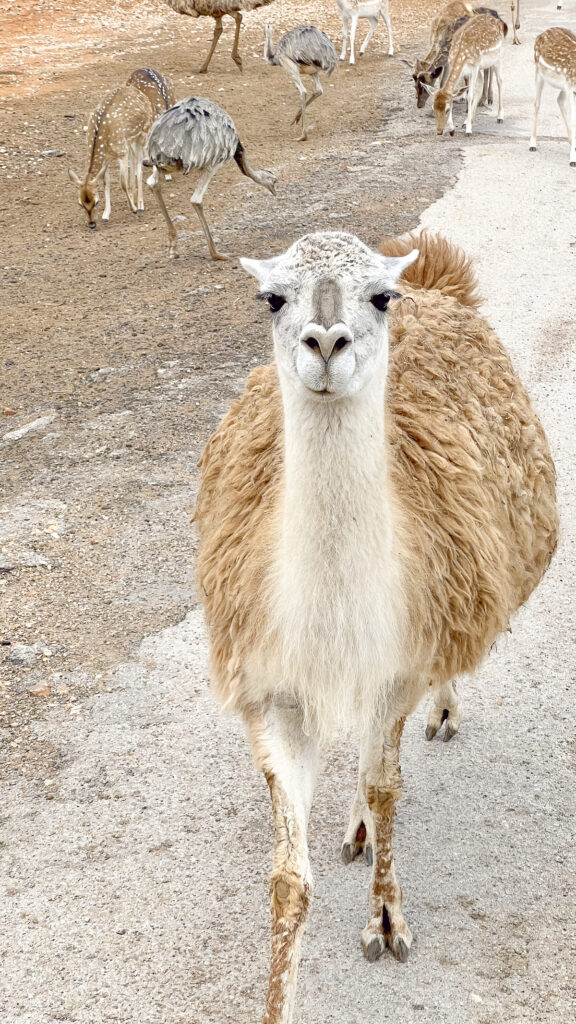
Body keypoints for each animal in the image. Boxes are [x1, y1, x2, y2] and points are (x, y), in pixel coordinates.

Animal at [67, 84, 154, 227]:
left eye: (96, 202)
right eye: (80, 203)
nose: (91, 224)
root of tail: (139, 92)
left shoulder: (121, 152)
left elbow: (122, 183)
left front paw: (133, 209)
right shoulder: (107, 158)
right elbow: (105, 182)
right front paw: (106, 214)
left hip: (143, 132)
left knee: (140, 165)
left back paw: (140, 204)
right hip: (129, 140)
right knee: (134, 160)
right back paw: (133, 197)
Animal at [528, 28, 573, 165]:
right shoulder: (571, 88)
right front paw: (572, 160)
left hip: (564, 86)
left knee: (559, 100)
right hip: (538, 72)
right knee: (536, 103)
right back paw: (532, 144)